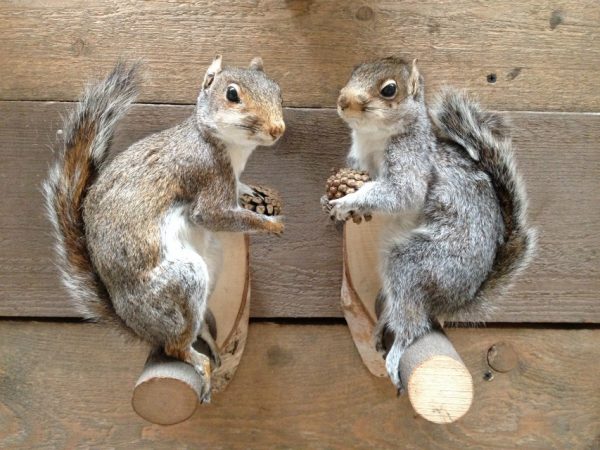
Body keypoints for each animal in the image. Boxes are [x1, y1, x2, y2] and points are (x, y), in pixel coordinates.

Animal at [44, 56, 286, 400]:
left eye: (278, 91)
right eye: (232, 95)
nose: (277, 129)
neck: (225, 145)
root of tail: (138, 328)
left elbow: (238, 192)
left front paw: (252, 192)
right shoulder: (205, 176)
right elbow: (213, 215)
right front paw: (269, 224)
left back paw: (209, 341)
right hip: (181, 282)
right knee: (175, 347)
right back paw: (199, 362)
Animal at [326, 58, 536, 392]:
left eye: (389, 90)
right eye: (354, 72)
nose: (343, 101)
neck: (375, 137)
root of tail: (458, 299)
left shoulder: (411, 161)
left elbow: (401, 193)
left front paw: (347, 201)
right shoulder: (361, 162)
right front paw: (331, 198)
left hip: (422, 263)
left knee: (414, 324)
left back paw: (397, 350)